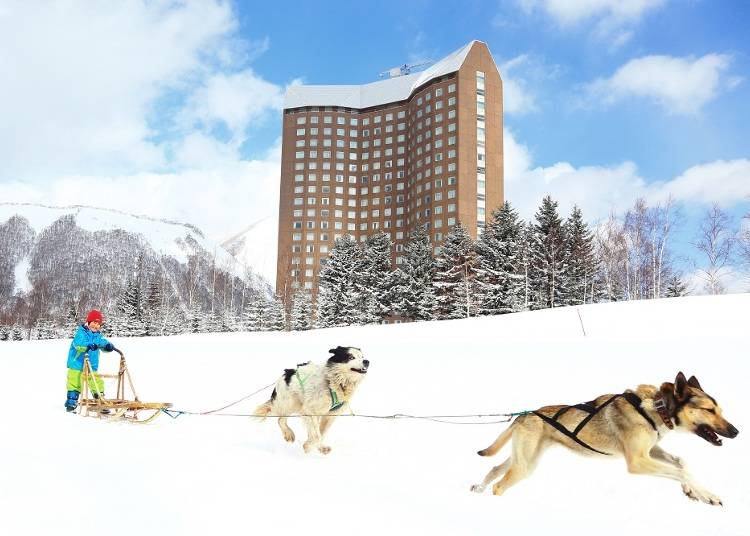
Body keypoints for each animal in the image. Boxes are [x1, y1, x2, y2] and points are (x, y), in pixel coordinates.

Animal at [472, 370, 744, 504]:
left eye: (720, 409)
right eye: (709, 410)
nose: (736, 432)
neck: (656, 409)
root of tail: (524, 415)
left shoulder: (650, 451)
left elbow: (681, 464)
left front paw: (691, 490)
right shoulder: (637, 461)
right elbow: (680, 471)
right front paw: (708, 494)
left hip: (524, 458)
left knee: (495, 470)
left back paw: (478, 488)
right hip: (526, 465)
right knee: (499, 486)